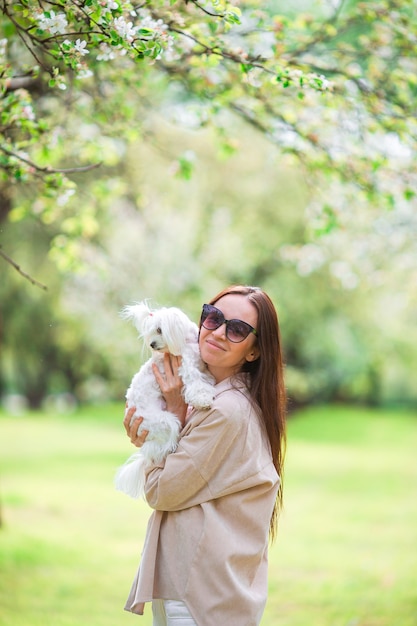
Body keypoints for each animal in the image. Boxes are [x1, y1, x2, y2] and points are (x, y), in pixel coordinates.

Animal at [113, 300, 213, 500]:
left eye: (159, 330)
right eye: (151, 332)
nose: (152, 344)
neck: (187, 342)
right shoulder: (187, 368)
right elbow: (196, 384)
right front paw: (204, 399)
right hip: (164, 421)